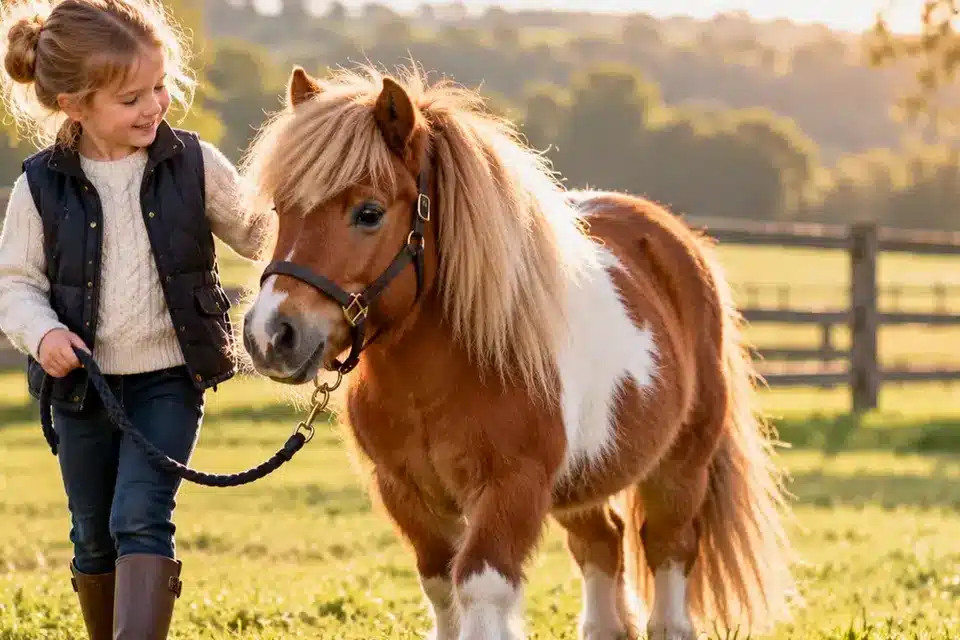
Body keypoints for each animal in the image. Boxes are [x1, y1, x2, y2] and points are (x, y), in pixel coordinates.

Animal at [237, 62, 796, 640]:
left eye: (369, 213)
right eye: (281, 209)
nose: (271, 335)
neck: (439, 379)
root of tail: (679, 243)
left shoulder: (512, 488)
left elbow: (480, 586)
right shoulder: (407, 493)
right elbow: (441, 585)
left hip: (681, 465)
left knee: (667, 549)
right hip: (584, 479)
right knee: (602, 542)